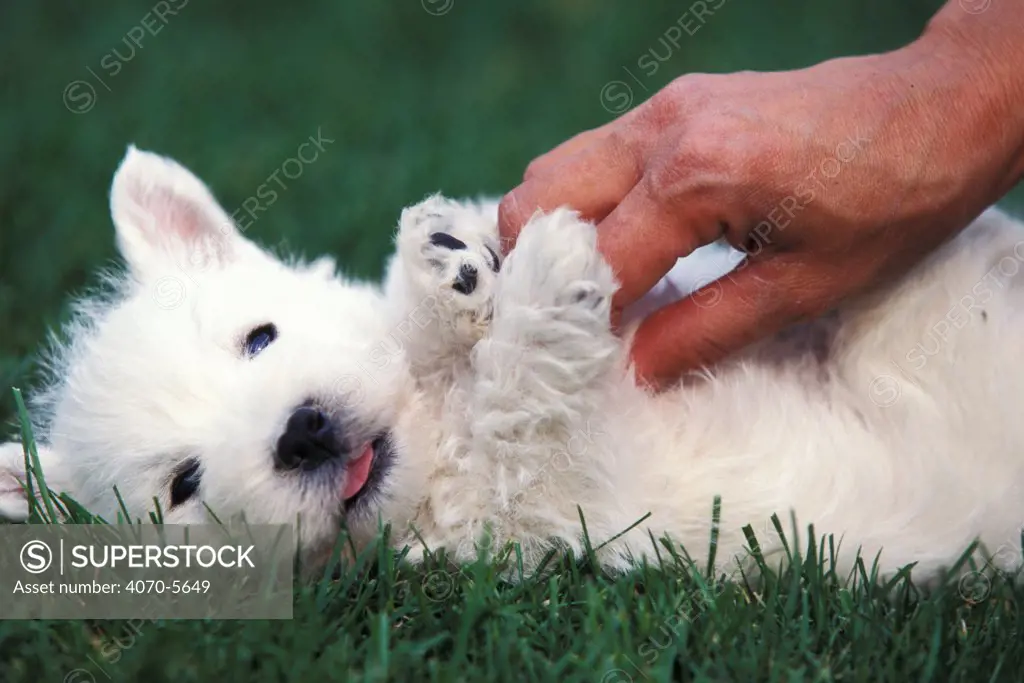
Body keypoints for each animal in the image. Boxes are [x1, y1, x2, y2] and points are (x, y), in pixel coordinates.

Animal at [2, 145, 1024, 581]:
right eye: (183, 485)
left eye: (259, 338)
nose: (303, 431)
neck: (432, 437)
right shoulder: (556, 500)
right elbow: (528, 406)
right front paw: (545, 279)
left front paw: (447, 263)